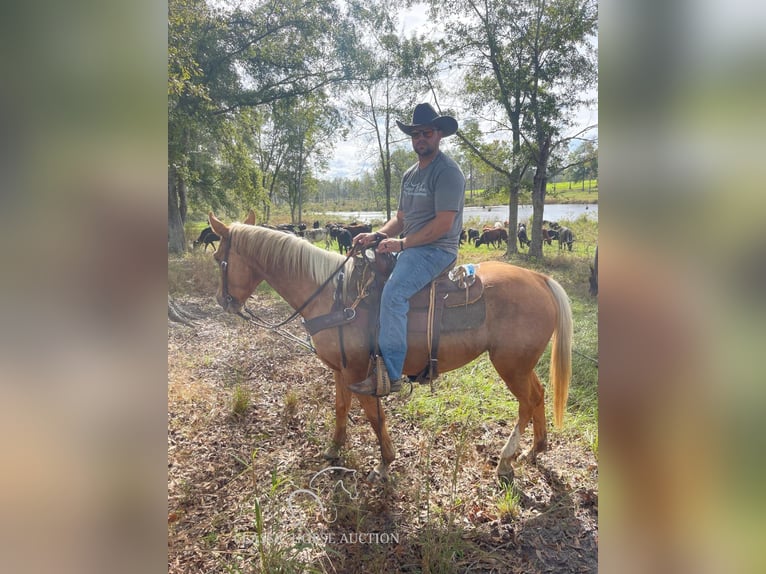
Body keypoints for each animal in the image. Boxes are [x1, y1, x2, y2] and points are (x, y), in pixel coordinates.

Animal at [207, 214, 572, 484]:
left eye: (218, 258)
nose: (224, 301)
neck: (334, 298)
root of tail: (540, 279)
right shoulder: (341, 370)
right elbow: (340, 408)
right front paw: (334, 449)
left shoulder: (359, 372)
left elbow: (373, 415)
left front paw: (384, 463)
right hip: (522, 364)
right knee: (538, 395)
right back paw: (536, 449)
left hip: (510, 365)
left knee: (526, 402)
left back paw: (507, 459)